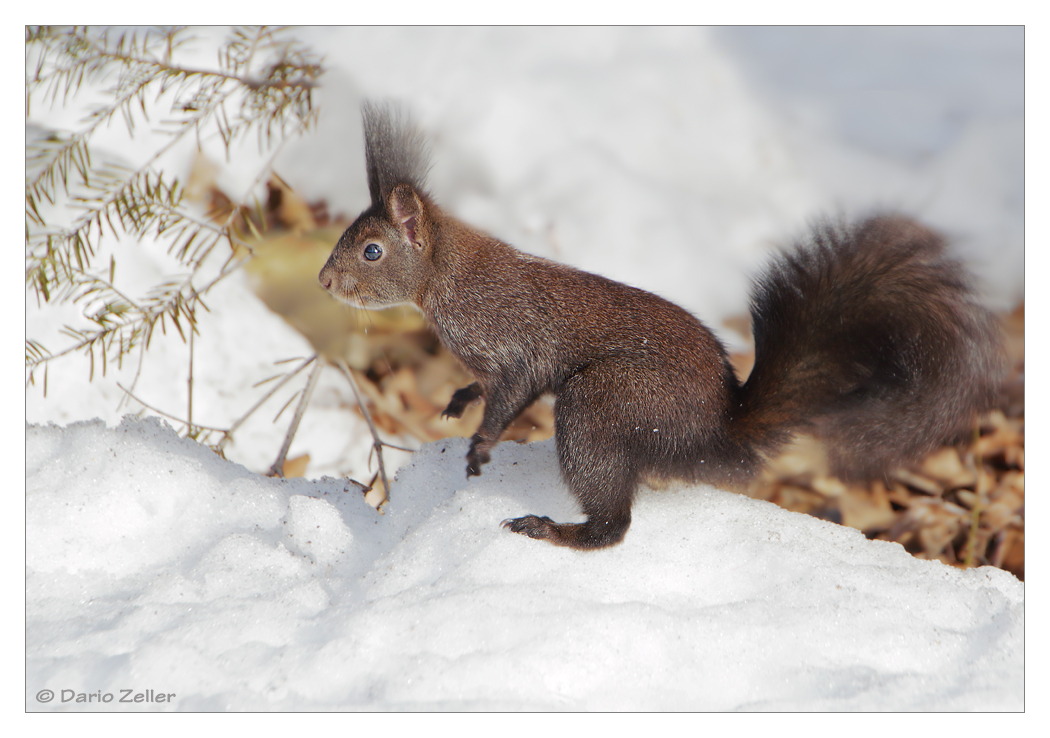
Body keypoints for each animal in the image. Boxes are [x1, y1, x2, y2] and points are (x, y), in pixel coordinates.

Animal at [321, 102, 1007, 550]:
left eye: (372, 251)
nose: (325, 283)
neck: (450, 279)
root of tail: (711, 432)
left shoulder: (515, 344)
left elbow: (511, 395)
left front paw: (479, 447)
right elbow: (486, 388)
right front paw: (460, 400)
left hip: (602, 404)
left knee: (613, 526)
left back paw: (551, 528)